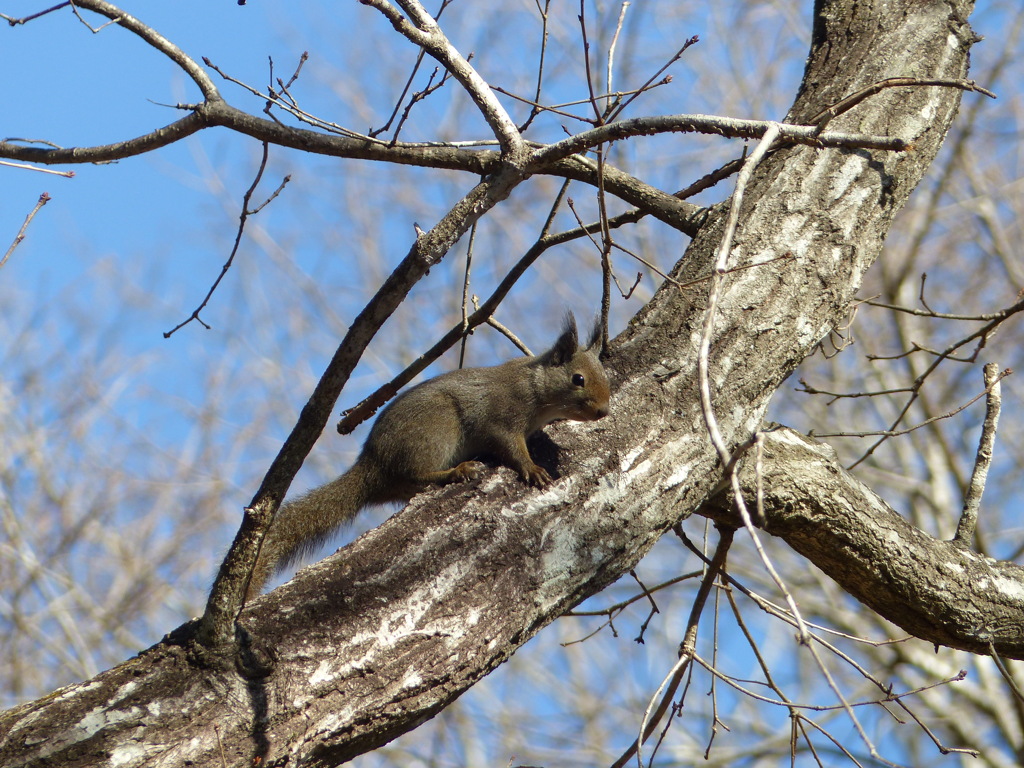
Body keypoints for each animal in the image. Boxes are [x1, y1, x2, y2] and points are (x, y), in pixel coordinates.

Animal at [247, 313, 610, 602]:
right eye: (578, 379)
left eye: (604, 376)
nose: (603, 411)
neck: (535, 387)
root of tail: (373, 464)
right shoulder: (502, 417)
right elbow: (510, 446)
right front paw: (532, 468)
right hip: (437, 429)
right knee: (416, 474)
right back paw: (456, 471)